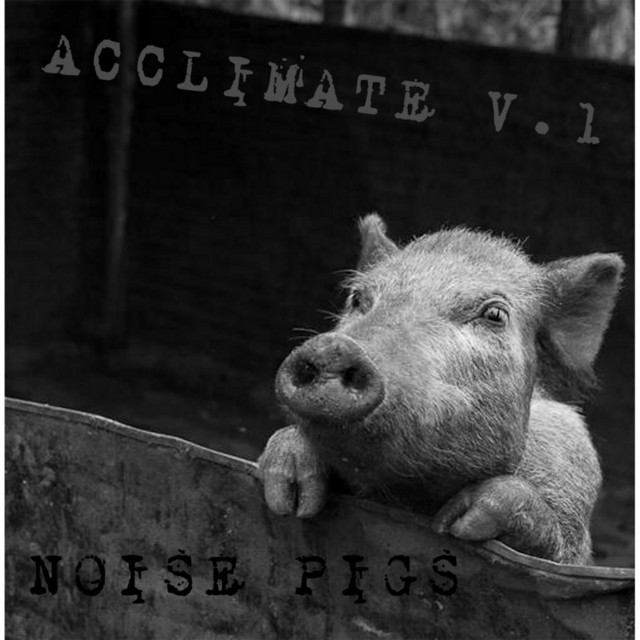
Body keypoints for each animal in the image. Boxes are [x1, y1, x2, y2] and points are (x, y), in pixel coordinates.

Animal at [258, 214, 623, 564]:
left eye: (495, 315)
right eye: (358, 297)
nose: (335, 348)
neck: (411, 497)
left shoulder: (573, 472)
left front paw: (457, 522)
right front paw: (287, 489)